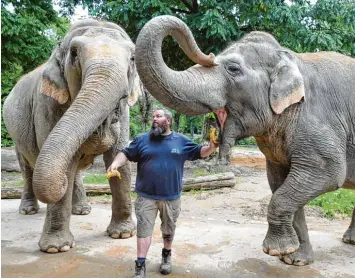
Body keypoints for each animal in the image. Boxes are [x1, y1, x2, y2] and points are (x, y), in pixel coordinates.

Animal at [3, 19, 142, 254]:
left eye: (133, 58)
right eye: (74, 53)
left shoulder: (123, 113)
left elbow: (119, 157)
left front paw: (123, 235)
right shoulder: (47, 104)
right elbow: (65, 165)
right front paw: (55, 249)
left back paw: (82, 210)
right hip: (16, 136)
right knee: (28, 169)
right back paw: (29, 210)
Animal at [134, 15, 355, 266]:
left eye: (233, 68)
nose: (208, 55)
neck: (291, 57)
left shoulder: (319, 122)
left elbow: (327, 173)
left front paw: (275, 250)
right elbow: (279, 184)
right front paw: (294, 259)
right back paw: (350, 241)